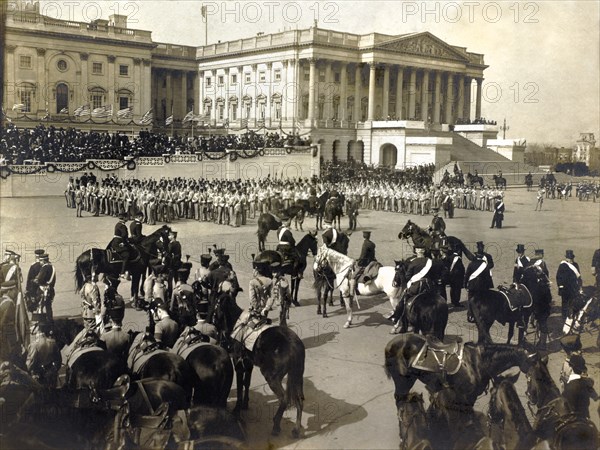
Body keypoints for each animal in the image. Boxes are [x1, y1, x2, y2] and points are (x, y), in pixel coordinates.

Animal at [211, 294, 304, 438]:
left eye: (216, 305)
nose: (213, 321)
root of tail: (294, 345)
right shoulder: (248, 364)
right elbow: (246, 384)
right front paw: (245, 404)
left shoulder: (239, 365)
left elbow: (240, 387)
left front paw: (237, 410)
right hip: (297, 376)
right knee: (298, 400)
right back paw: (296, 429)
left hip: (271, 377)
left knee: (284, 398)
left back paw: (276, 425)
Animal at [384, 334, 540, 408]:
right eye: (533, 362)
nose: (533, 393)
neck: (478, 363)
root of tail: (391, 344)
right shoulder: (466, 396)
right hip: (403, 381)